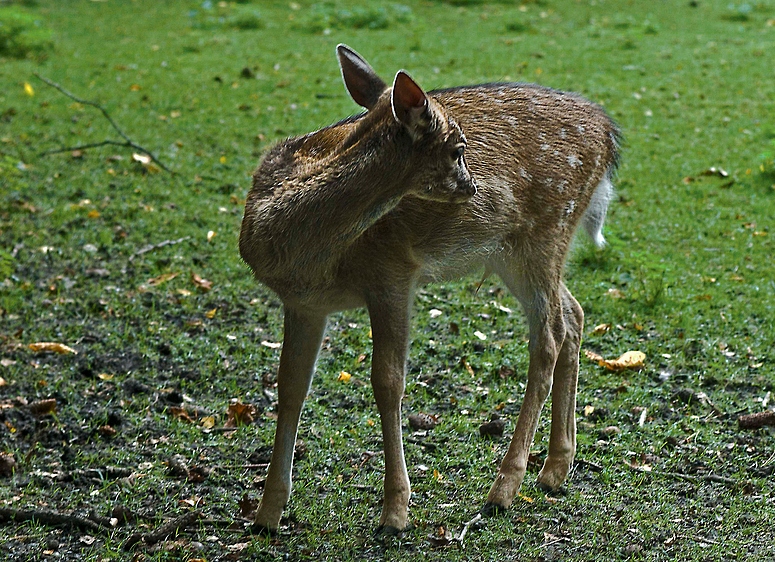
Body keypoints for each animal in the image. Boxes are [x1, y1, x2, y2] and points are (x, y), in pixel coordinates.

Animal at [239, 43, 620, 532]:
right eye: (458, 149)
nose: (473, 186)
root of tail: (609, 136)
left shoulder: (392, 273)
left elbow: (387, 383)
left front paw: (395, 511)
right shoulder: (304, 304)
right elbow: (290, 388)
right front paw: (267, 513)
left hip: (545, 233)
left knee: (549, 336)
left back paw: (504, 488)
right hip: (515, 254)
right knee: (573, 314)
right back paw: (555, 469)